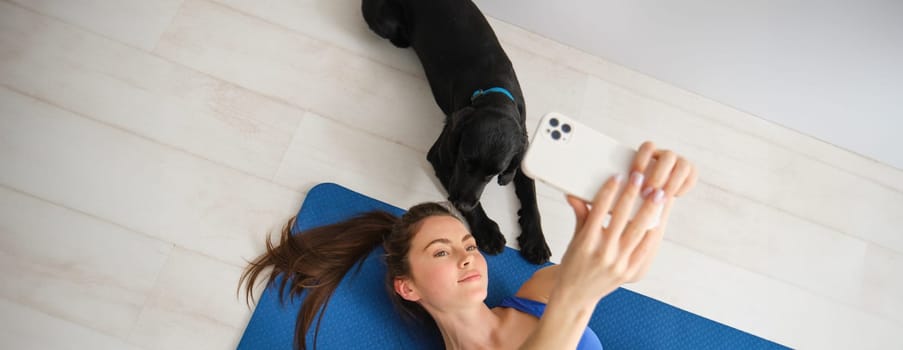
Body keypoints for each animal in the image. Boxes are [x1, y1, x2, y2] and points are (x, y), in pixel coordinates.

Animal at [362, 0, 552, 262]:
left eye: (494, 173)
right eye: (464, 159)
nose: (461, 204)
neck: (495, 94)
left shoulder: (521, 150)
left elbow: (530, 196)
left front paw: (536, 240)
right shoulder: (442, 154)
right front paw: (487, 231)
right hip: (386, 22)